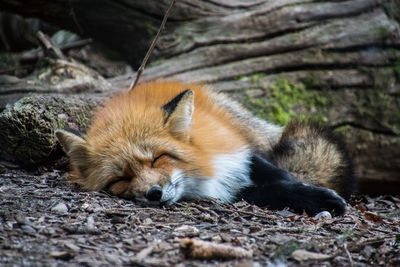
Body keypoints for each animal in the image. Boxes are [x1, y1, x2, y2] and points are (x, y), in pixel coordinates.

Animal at [54, 80, 354, 217]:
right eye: (120, 179)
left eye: (157, 159)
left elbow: (275, 173)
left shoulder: (236, 148)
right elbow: (264, 192)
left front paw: (307, 190)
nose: (153, 193)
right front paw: (310, 198)